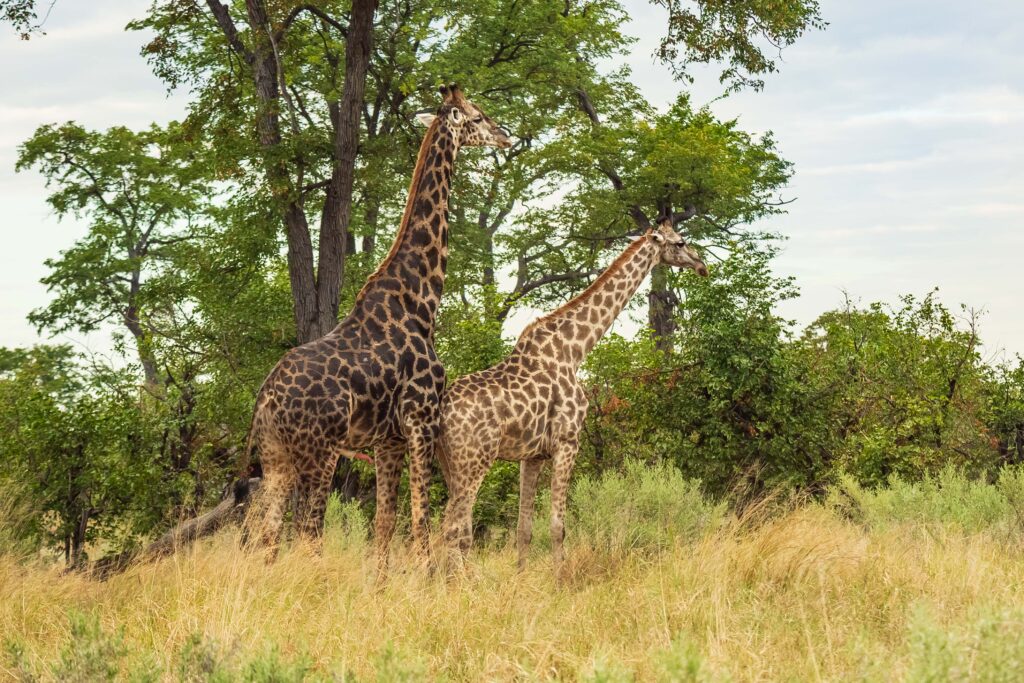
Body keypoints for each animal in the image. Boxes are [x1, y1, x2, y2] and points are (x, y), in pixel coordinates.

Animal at [242, 84, 509, 575]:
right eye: (478, 117)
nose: (506, 135)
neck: (422, 300)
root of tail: (264, 399)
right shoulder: (422, 420)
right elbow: (421, 518)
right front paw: (426, 578)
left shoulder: (388, 440)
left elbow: (384, 526)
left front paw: (383, 585)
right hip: (319, 453)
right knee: (308, 532)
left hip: (276, 460)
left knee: (268, 537)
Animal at [435, 218, 708, 573]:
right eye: (680, 242)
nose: (701, 265)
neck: (575, 350)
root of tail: (438, 413)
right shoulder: (568, 441)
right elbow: (557, 526)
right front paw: (560, 579)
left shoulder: (532, 455)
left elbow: (523, 528)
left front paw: (520, 577)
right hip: (474, 460)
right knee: (453, 528)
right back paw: (467, 582)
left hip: (448, 463)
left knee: (453, 528)